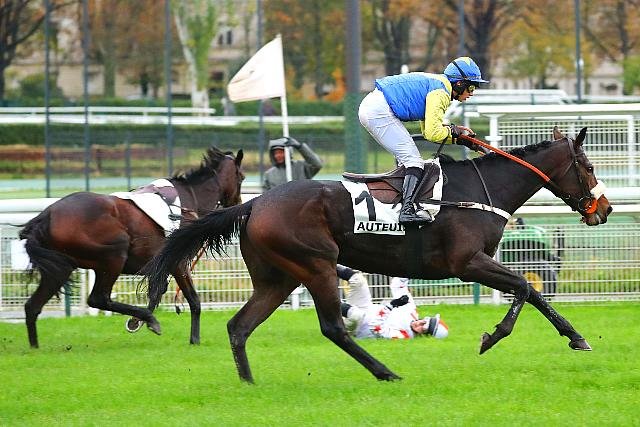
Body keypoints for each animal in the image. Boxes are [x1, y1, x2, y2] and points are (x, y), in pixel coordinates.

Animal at [19, 146, 244, 348]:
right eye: (241, 178)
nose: (238, 204)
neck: (188, 200)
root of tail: (46, 216)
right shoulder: (178, 262)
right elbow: (193, 300)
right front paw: (193, 339)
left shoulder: (162, 264)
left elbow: (157, 292)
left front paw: (138, 322)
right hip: (113, 255)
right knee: (98, 298)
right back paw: (149, 319)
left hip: (61, 267)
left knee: (32, 306)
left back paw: (34, 347)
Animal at [143, 127, 612, 383]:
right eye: (589, 167)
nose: (604, 209)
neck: (481, 190)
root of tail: (254, 203)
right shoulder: (468, 263)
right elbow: (523, 288)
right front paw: (492, 336)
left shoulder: (480, 263)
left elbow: (533, 293)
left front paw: (576, 337)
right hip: (315, 265)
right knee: (333, 328)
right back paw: (386, 371)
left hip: (279, 277)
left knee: (239, 327)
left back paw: (249, 382)